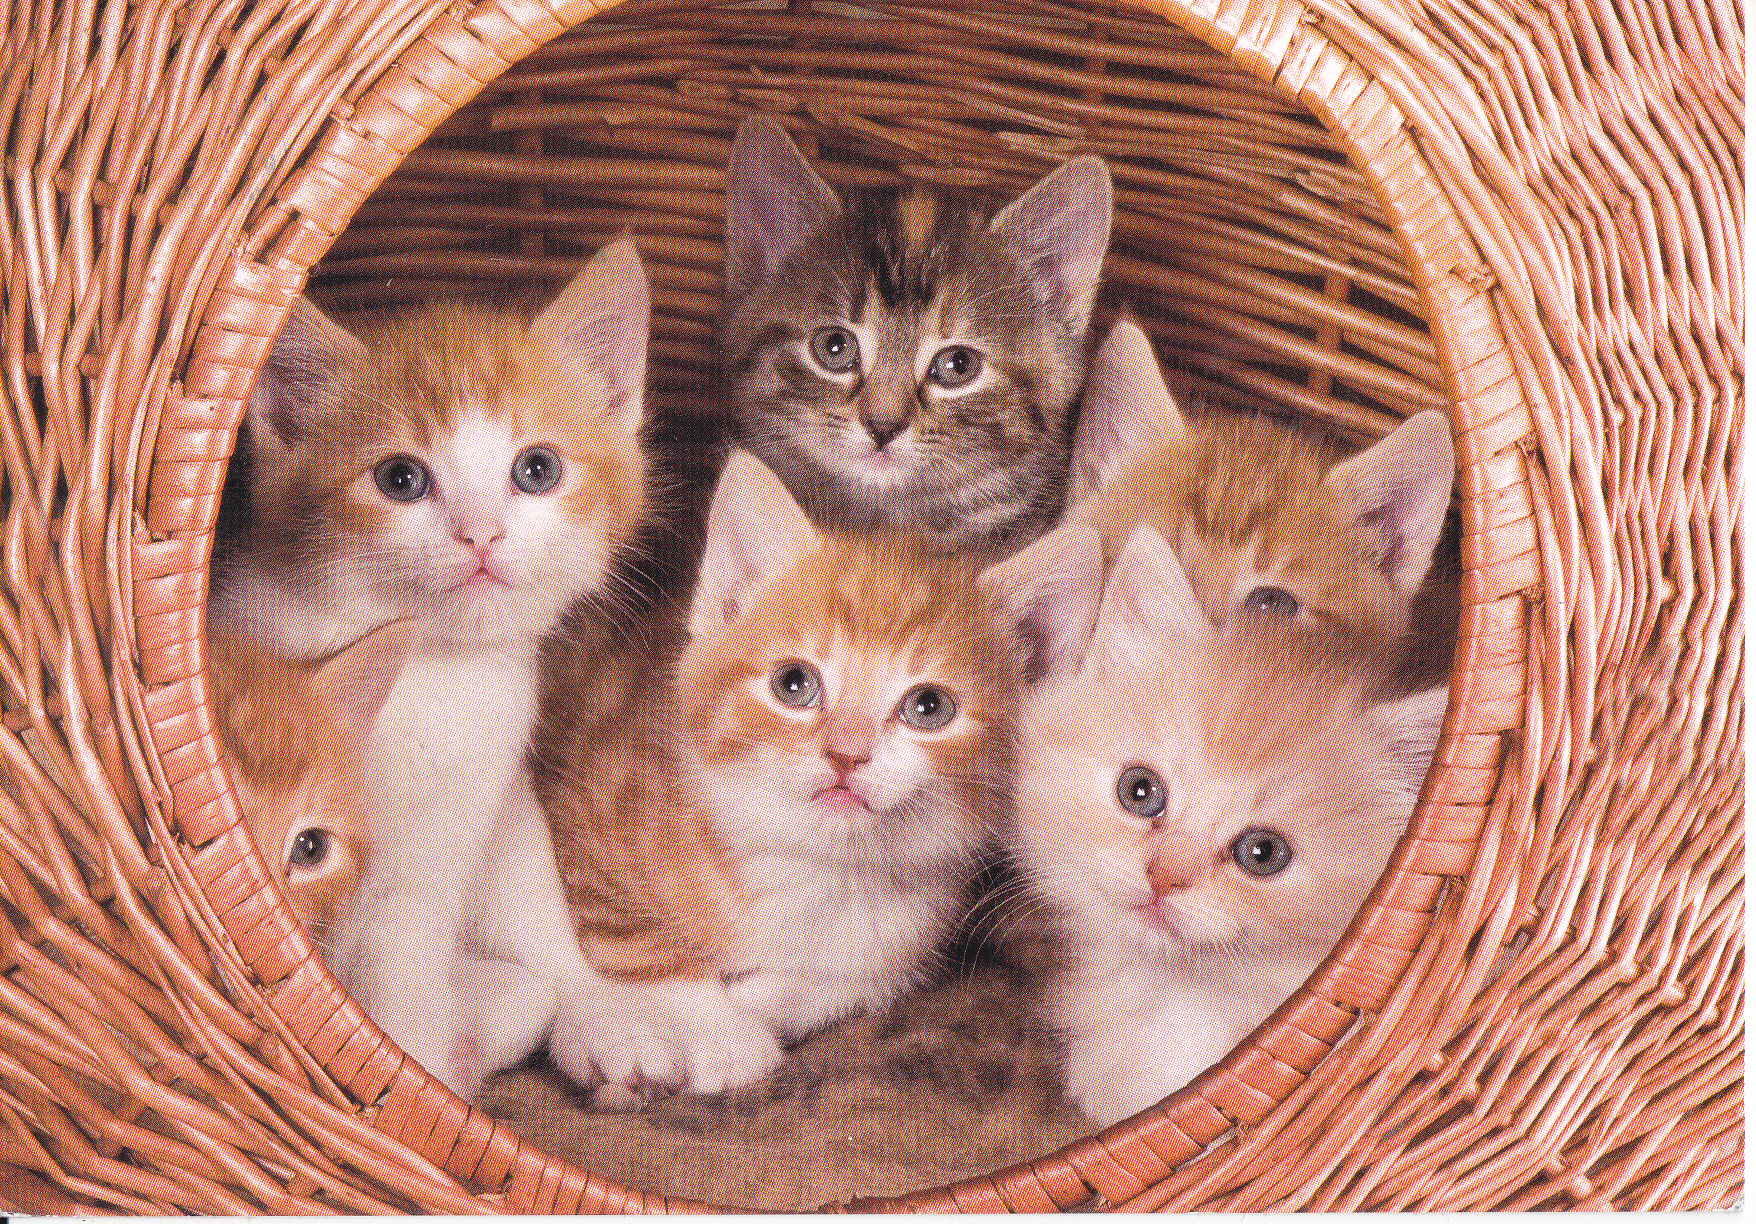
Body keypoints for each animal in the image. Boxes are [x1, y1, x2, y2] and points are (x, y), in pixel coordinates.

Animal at [209, 236, 654, 1097]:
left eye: (537, 469)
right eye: (400, 479)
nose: (480, 535)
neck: (430, 673)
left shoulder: (446, 832)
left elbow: (406, 969)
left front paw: (412, 1075)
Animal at [532, 450, 1057, 1103]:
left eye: (929, 707)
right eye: (794, 684)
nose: (847, 754)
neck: (808, 868)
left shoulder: (906, 932)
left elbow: (844, 979)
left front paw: (765, 1004)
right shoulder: (587, 787)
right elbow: (628, 935)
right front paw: (713, 1032)